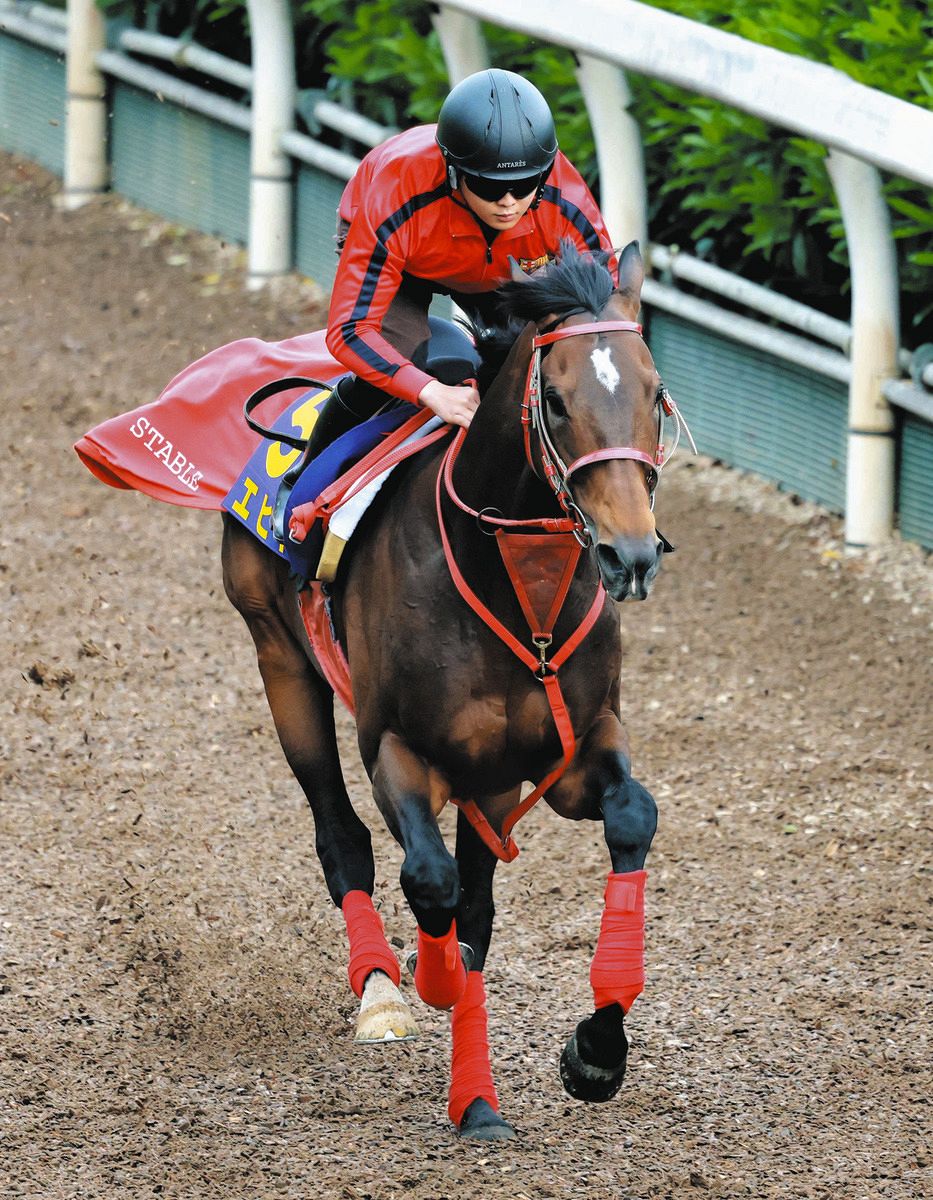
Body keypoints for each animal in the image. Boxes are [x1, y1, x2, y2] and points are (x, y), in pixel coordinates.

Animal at [221, 240, 676, 1140]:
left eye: (652, 392)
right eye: (557, 402)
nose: (630, 555)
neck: (514, 586)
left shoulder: (576, 747)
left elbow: (629, 819)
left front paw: (597, 1051)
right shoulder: (398, 748)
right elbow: (427, 880)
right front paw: (425, 979)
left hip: (491, 780)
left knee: (477, 905)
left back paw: (477, 1101)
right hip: (280, 657)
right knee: (344, 839)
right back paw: (384, 993)